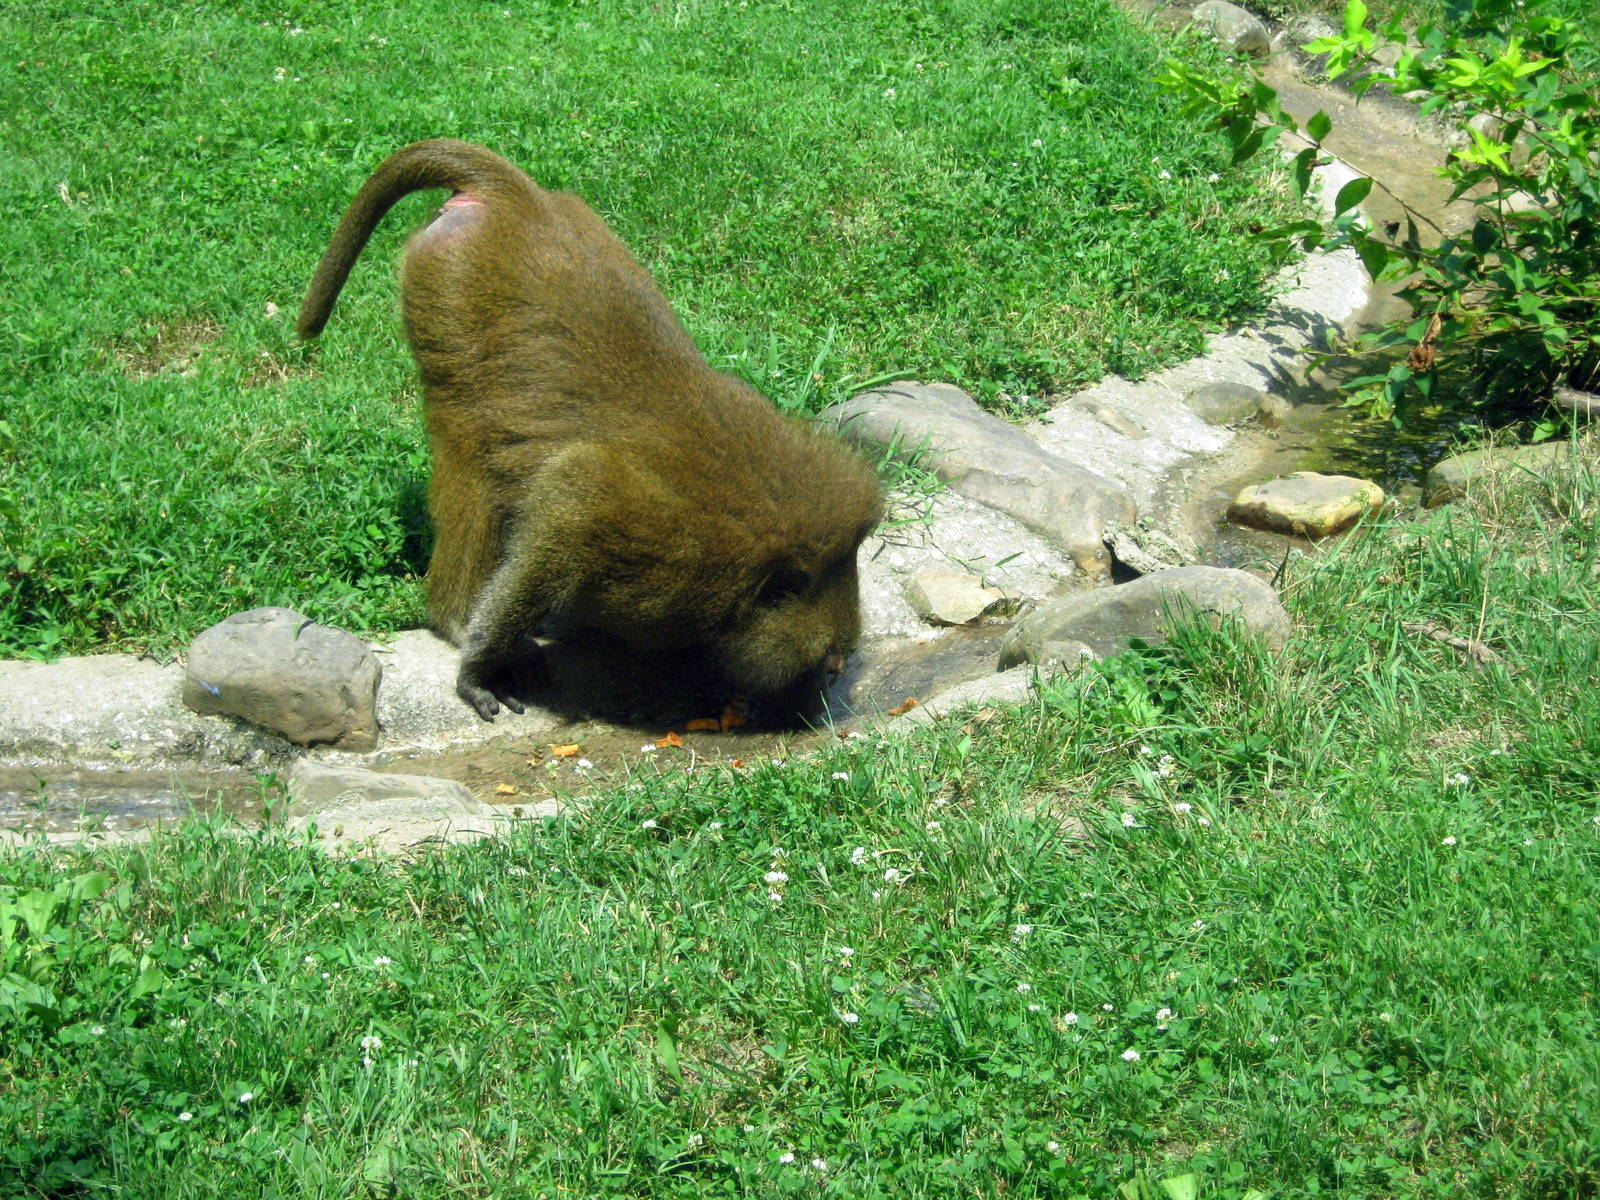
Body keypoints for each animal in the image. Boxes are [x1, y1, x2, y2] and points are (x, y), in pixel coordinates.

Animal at [298, 139, 882, 721]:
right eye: (827, 659)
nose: (822, 702)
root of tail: (522, 200)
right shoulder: (653, 532)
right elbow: (573, 492)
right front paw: (479, 668)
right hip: (449, 292)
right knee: (471, 453)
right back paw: (458, 619)